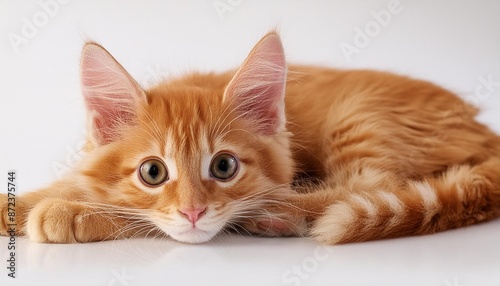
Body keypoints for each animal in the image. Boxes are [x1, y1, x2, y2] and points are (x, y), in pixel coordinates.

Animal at [0, 33, 500, 244]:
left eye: (224, 167)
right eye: (152, 172)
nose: (194, 212)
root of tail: (484, 129)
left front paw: (73, 213)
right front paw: (20, 206)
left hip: (362, 120)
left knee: (372, 185)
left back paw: (277, 217)